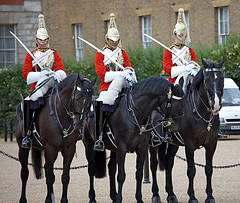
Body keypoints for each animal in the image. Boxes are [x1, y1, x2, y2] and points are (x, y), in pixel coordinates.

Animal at [14, 73, 95, 203]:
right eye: (77, 97)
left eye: (89, 100)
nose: (79, 124)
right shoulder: (50, 148)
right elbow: (50, 178)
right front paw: (48, 200)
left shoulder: (68, 149)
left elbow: (65, 176)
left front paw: (63, 200)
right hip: (23, 148)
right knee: (24, 173)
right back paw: (23, 199)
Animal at [149, 57, 224, 203]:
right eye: (207, 79)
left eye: (222, 78)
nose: (216, 105)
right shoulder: (190, 145)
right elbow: (191, 170)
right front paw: (192, 197)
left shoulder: (212, 144)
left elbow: (209, 169)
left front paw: (210, 196)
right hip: (153, 142)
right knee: (154, 164)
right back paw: (155, 195)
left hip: (173, 143)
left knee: (169, 163)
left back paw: (171, 194)